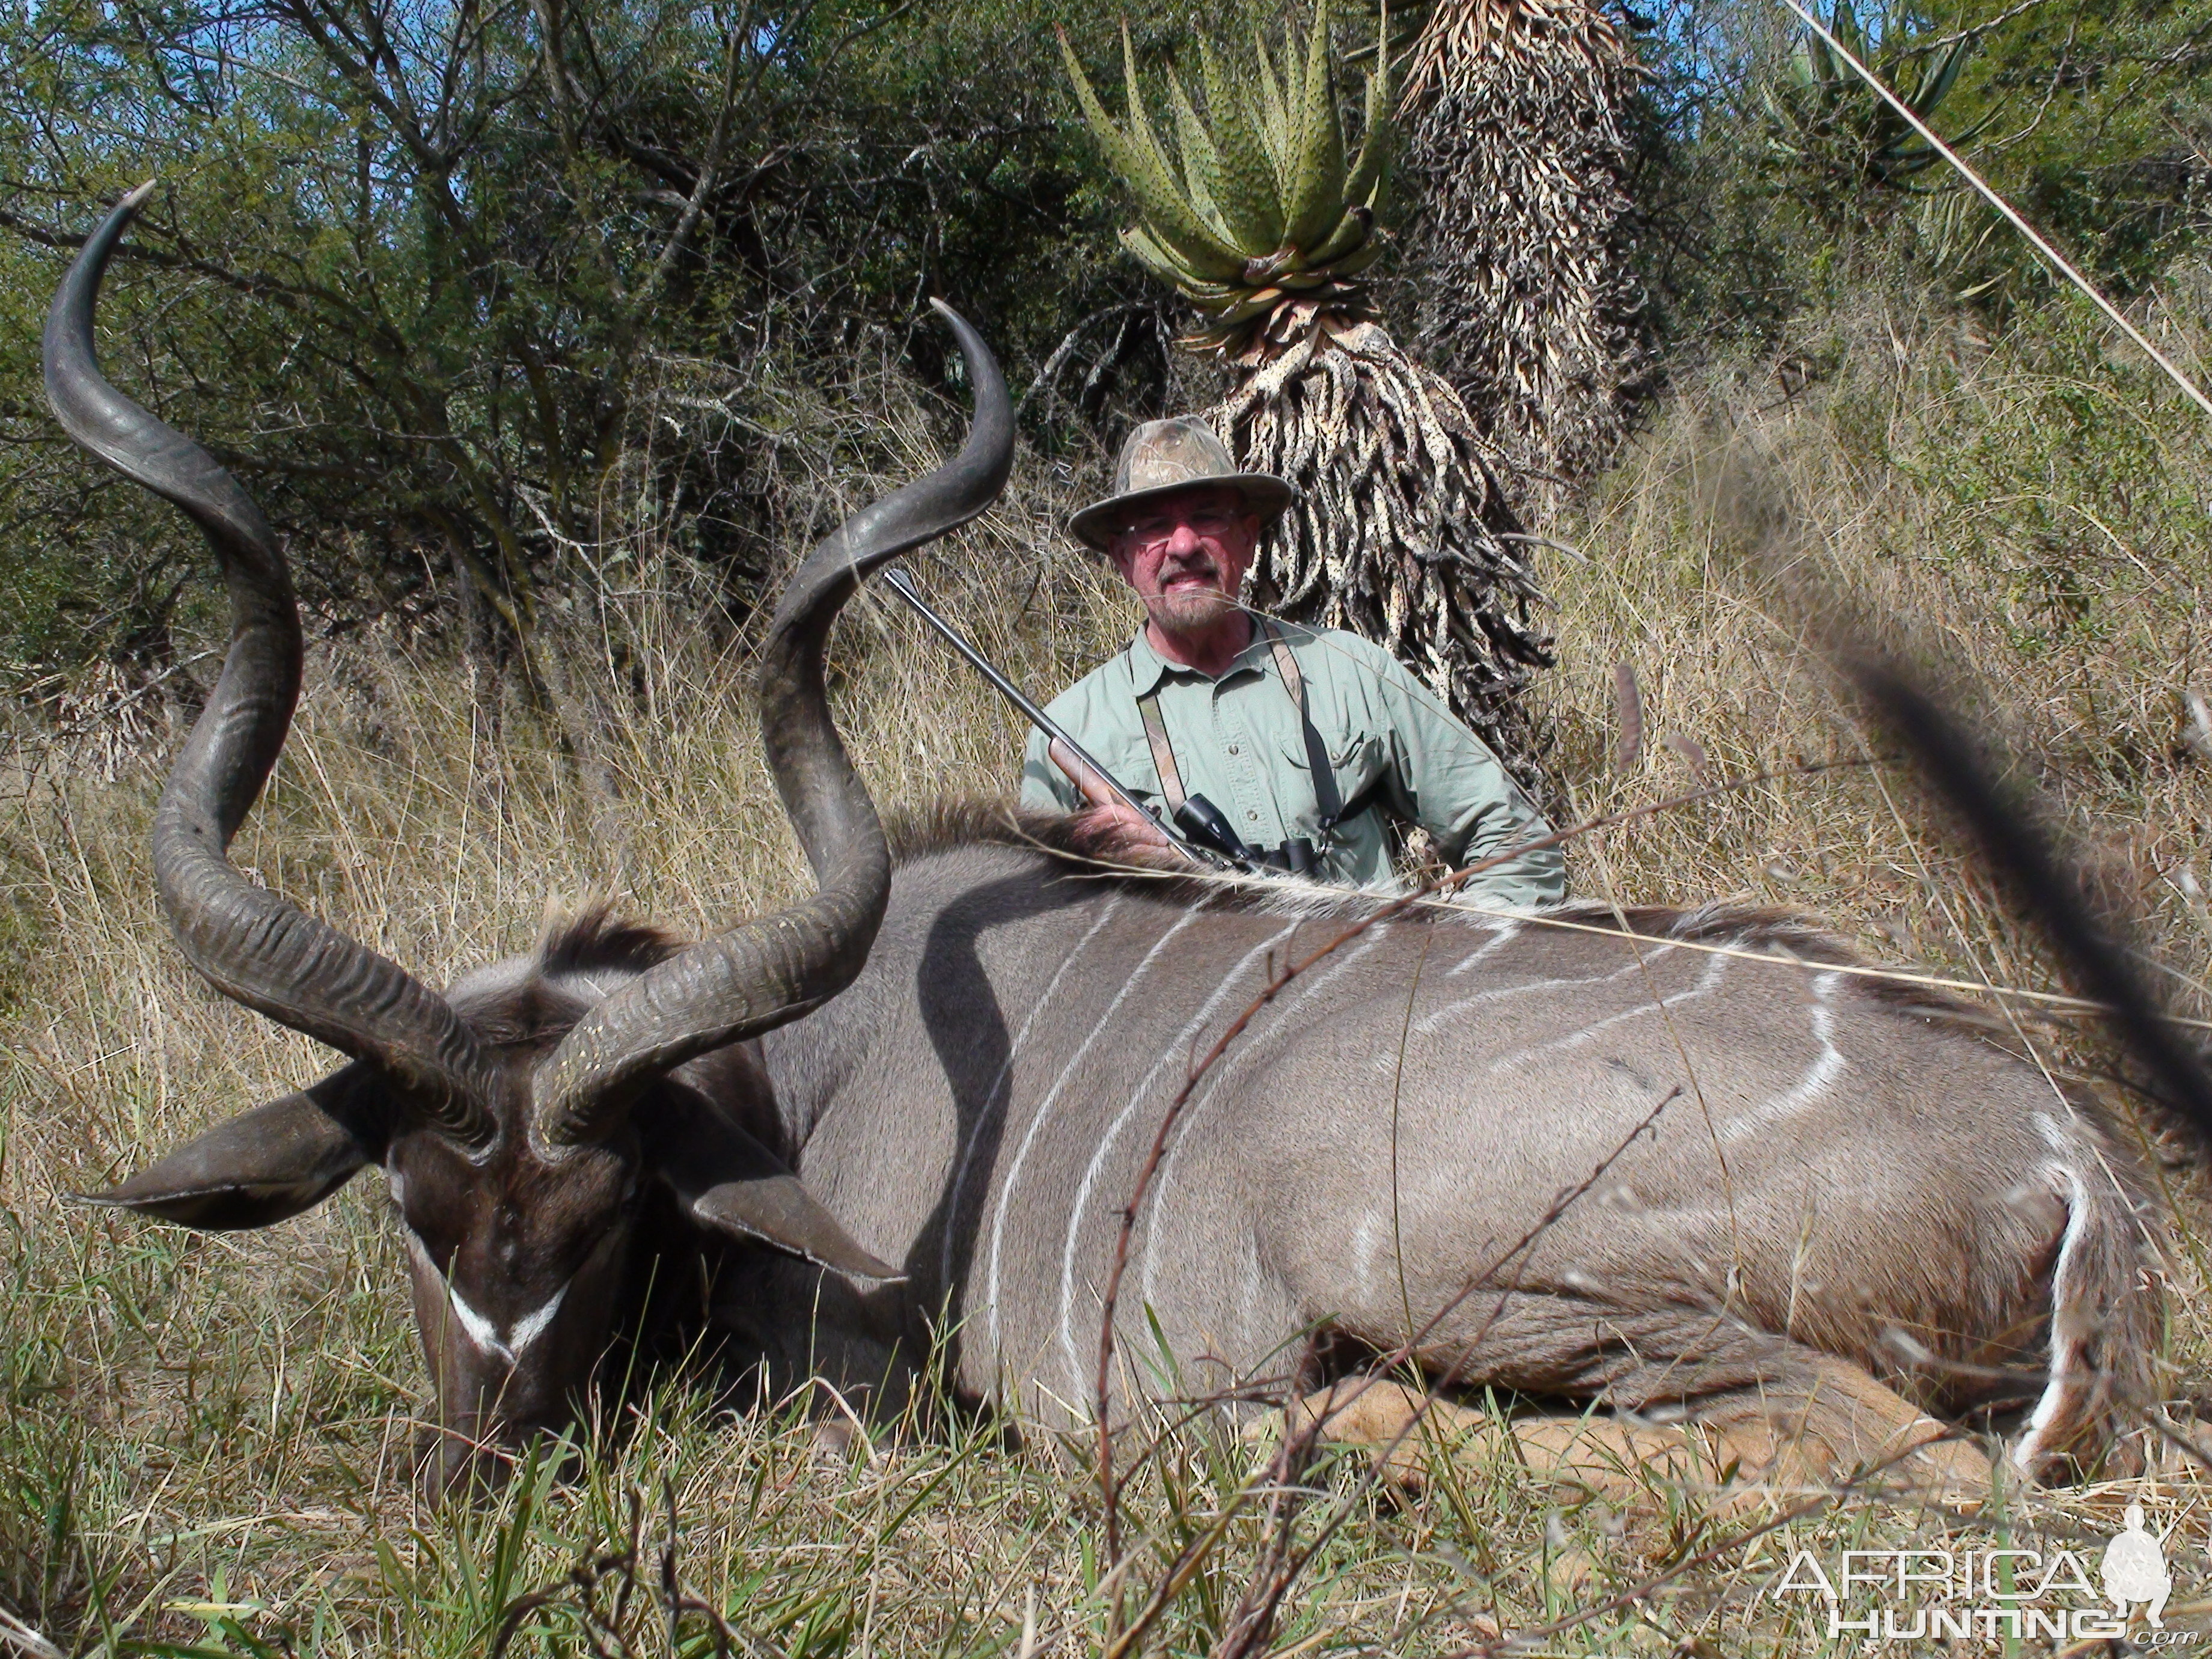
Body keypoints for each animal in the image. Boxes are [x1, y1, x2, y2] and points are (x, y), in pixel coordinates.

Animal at [52, 191, 2159, 1495]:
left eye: (609, 1214)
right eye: (410, 1208)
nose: (484, 1469)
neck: (804, 1064)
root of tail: (2074, 1175)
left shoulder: (848, 1381)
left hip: (1499, 1279)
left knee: (1855, 1449)